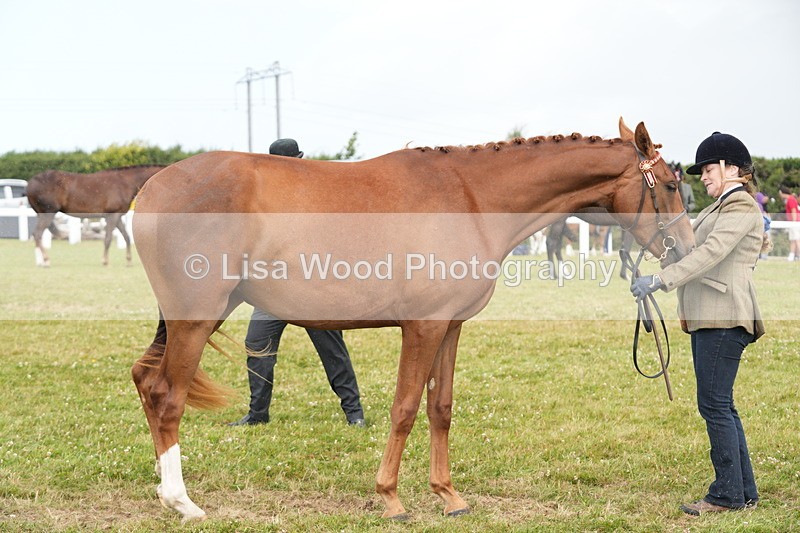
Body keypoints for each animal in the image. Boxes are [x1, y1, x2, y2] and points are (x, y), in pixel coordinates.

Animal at [26, 165, 165, 267]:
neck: (125, 182)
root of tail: (30, 183)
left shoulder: (118, 216)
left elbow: (126, 237)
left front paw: (128, 260)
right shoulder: (112, 216)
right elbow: (108, 238)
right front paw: (105, 261)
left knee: (36, 235)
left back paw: (40, 262)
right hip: (48, 213)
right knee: (37, 234)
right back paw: (46, 260)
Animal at [130, 119, 694, 522]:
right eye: (669, 184)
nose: (685, 249)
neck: (470, 199)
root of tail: (152, 189)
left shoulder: (450, 326)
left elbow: (440, 407)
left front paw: (449, 496)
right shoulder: (422, 327)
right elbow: (404, 409)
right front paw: (391, 498)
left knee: (145, 381)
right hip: (195, 319)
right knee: (166, 395)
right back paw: (182, 503)